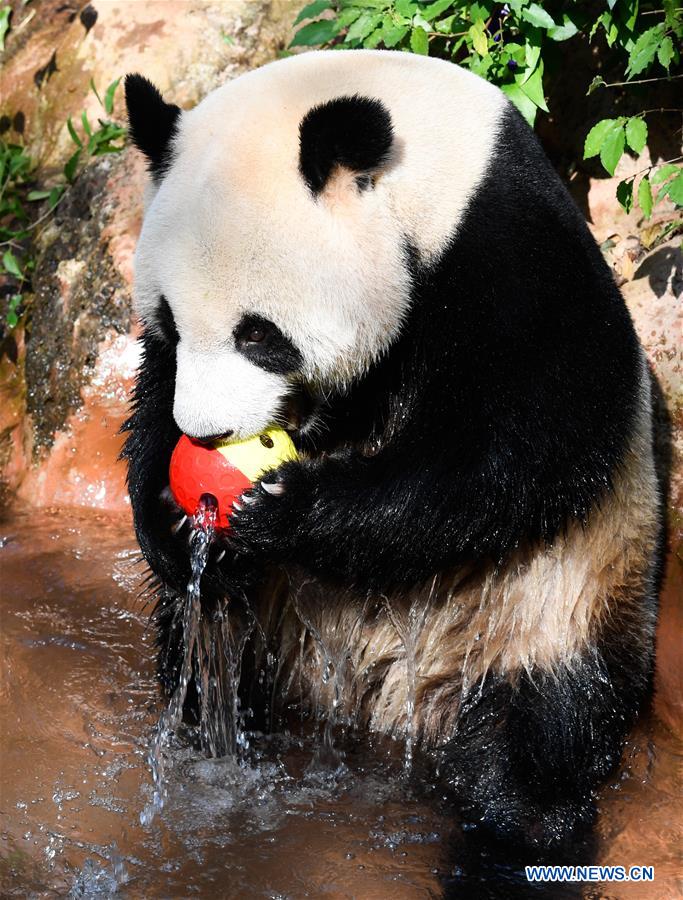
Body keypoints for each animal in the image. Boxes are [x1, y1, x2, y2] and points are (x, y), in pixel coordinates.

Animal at [122, 50, 663, 856]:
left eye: (259, 334)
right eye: (169, 319)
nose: (209, 434)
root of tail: (386, 701)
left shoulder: (509, 250)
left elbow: (524, 446)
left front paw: (286, 509)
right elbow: (153, 395)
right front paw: (173, 523)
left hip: (546, 615)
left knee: (530, 752)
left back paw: (518, 821)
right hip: (280, 625)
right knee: (207, 656)